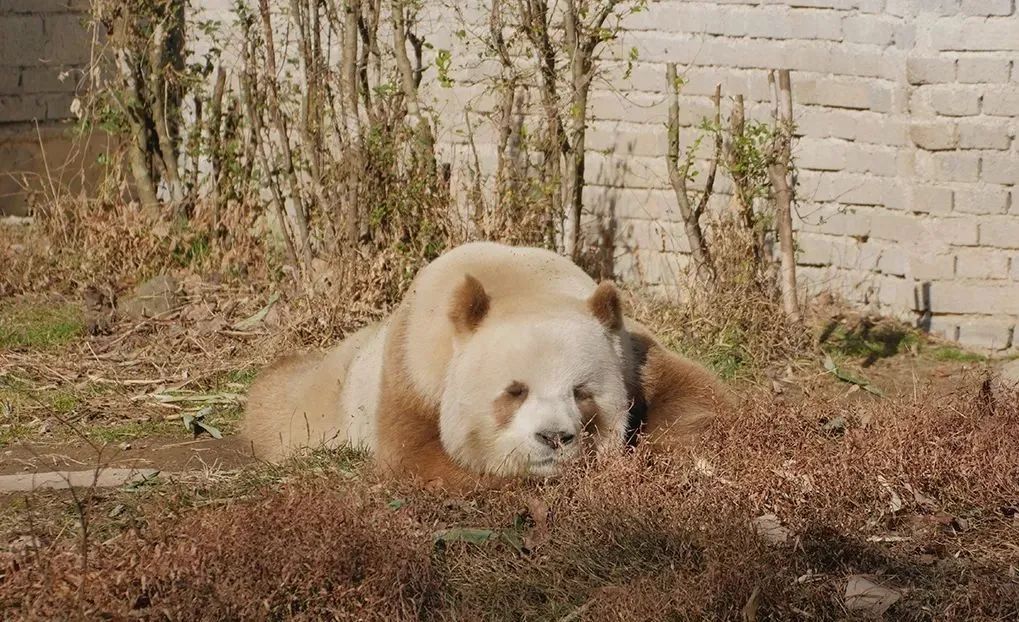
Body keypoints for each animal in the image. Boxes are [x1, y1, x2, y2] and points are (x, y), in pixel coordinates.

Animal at [242, 239, 729, 487]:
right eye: (514, 391)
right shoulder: (414, 366)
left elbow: (698, 398)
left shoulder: (628, 352)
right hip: (329, 402)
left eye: (582, 393)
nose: (554, 438)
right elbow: (418, 455)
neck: (523, 287)